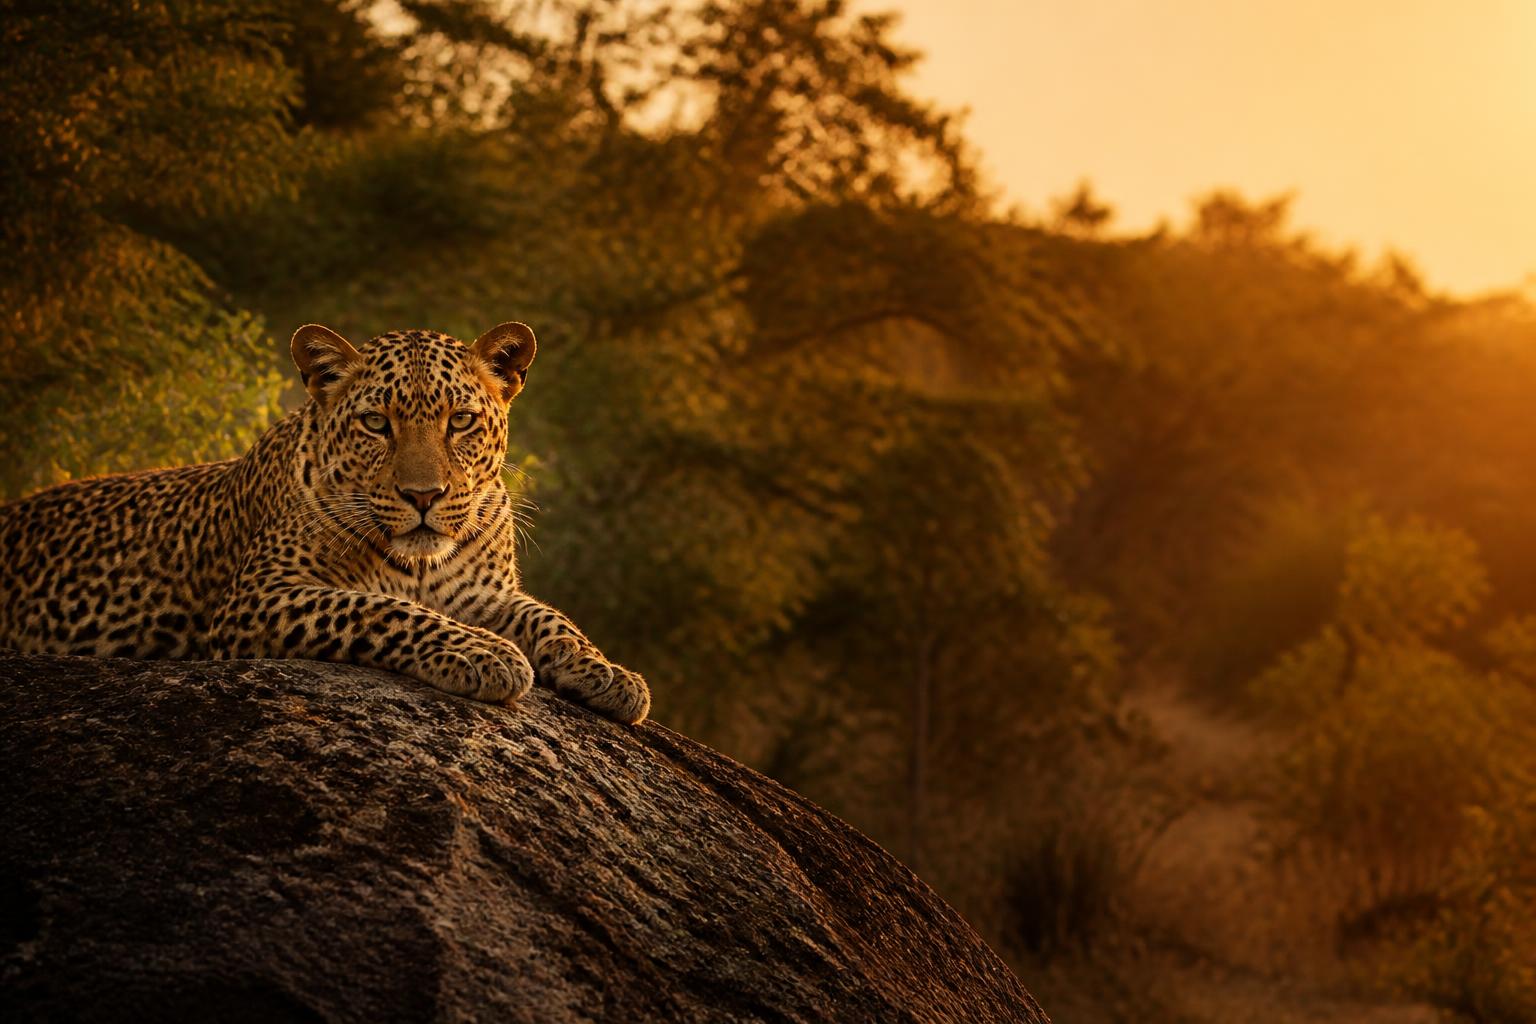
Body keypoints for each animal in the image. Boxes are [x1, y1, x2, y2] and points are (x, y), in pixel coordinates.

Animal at [0, 322, 650, 724]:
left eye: (460, 421)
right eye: (376, 424)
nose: (423, 496)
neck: (419, 563)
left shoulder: (484, 594)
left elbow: (552, 618)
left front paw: (610, 673)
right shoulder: (258, 595)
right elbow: (381, 608)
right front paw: (483, 654)